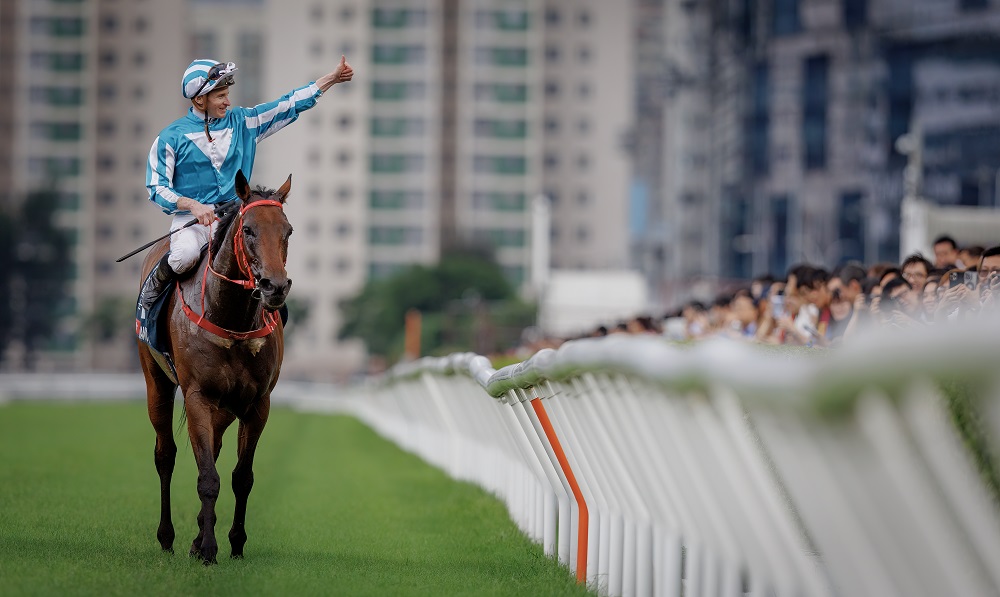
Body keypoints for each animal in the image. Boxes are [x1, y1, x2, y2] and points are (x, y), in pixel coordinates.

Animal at [138, 169, 292, 564]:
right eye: (249, 229)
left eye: (288, 230)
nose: (275, 286)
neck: (231, 318)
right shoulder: (198, 396)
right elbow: (207, 477)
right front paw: (208, 548)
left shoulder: (257, 404)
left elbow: (241, 477)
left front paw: (234, 542)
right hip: (156, 382)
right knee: (165, 454)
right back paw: (167, 537)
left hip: (224, 408)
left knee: (215, 448)